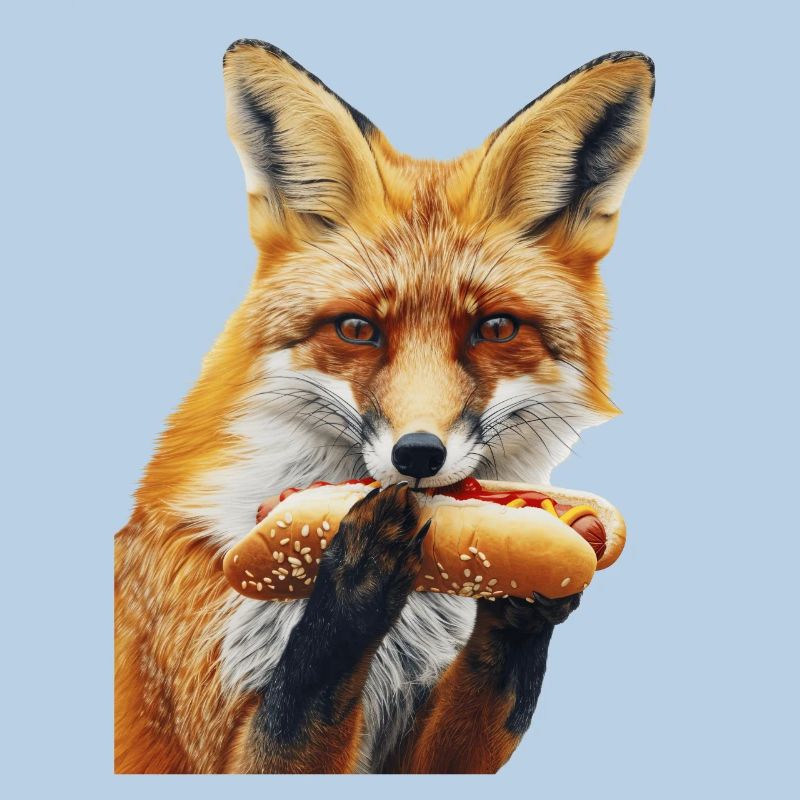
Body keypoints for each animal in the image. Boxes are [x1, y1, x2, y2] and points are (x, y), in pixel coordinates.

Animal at [114, 39, 654, 773]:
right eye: (357, 330)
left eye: (495, 329)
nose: (418, 455)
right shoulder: (210, 732)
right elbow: (304, 689)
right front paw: (356, 574)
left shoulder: (416, 753)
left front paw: (528, 599)